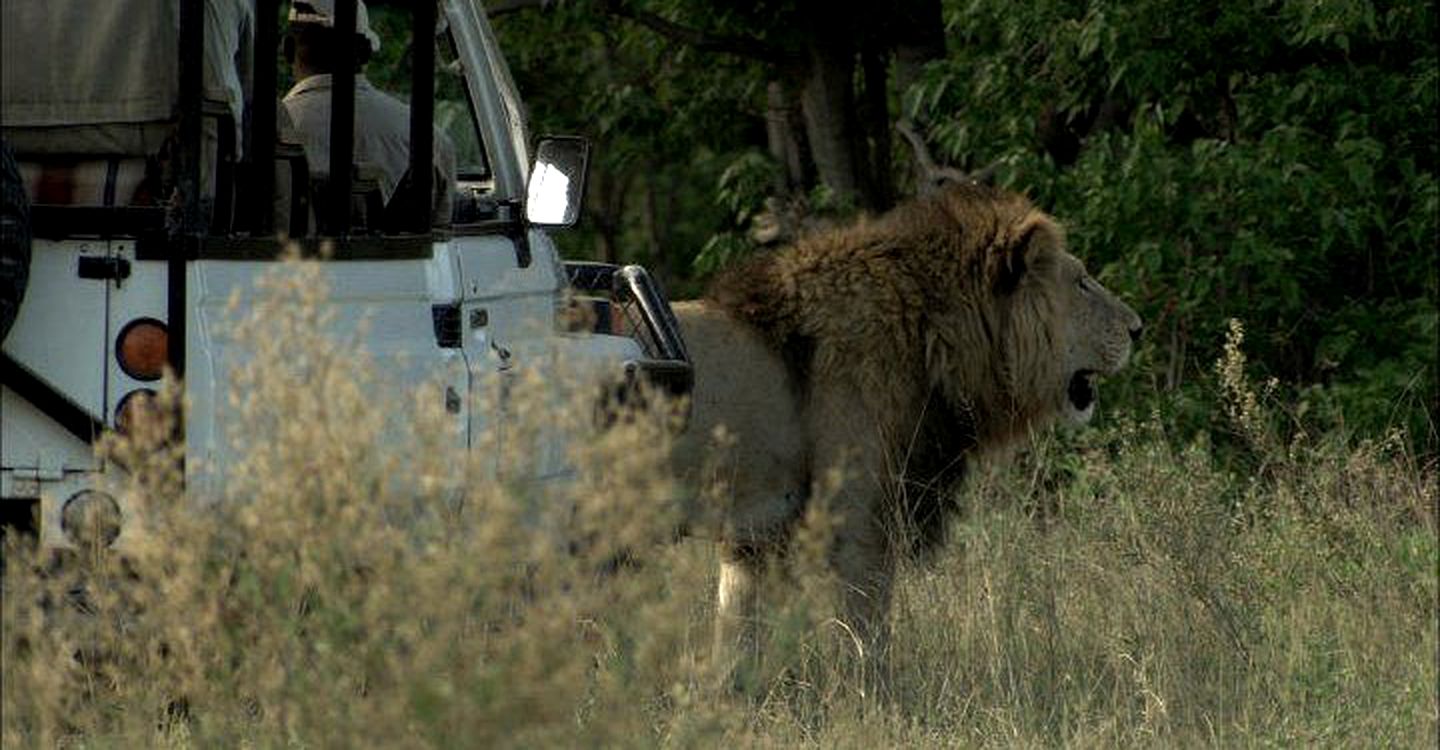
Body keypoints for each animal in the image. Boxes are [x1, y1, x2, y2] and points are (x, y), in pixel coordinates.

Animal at [668, 182, 1140, 685]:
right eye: (1082, 282)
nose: (1139, 328)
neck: (938, 340)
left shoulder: (755, 537)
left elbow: (738, 633)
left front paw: (731, 692)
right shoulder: (857, 520)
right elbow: (866, 632)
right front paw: (874, 694)